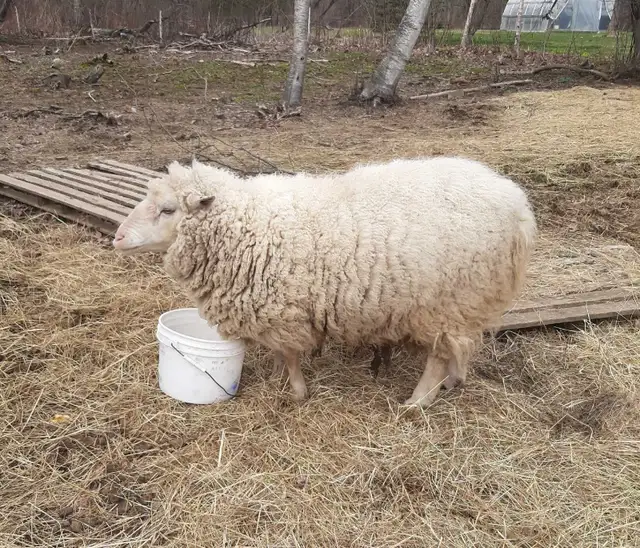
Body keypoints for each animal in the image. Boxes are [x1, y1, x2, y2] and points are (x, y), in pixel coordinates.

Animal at [113, 156, 536, 407]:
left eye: (168, 210)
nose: (117, 237)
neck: (248, 224)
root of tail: (518, 207)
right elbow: (281, 355)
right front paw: (280, 381)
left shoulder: (282, 310)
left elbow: (289, 355)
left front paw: (297, 391)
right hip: (461, 306)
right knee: (454, 353)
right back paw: (449, 383)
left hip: (449, 302)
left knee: (438, 356)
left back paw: (417, 402)